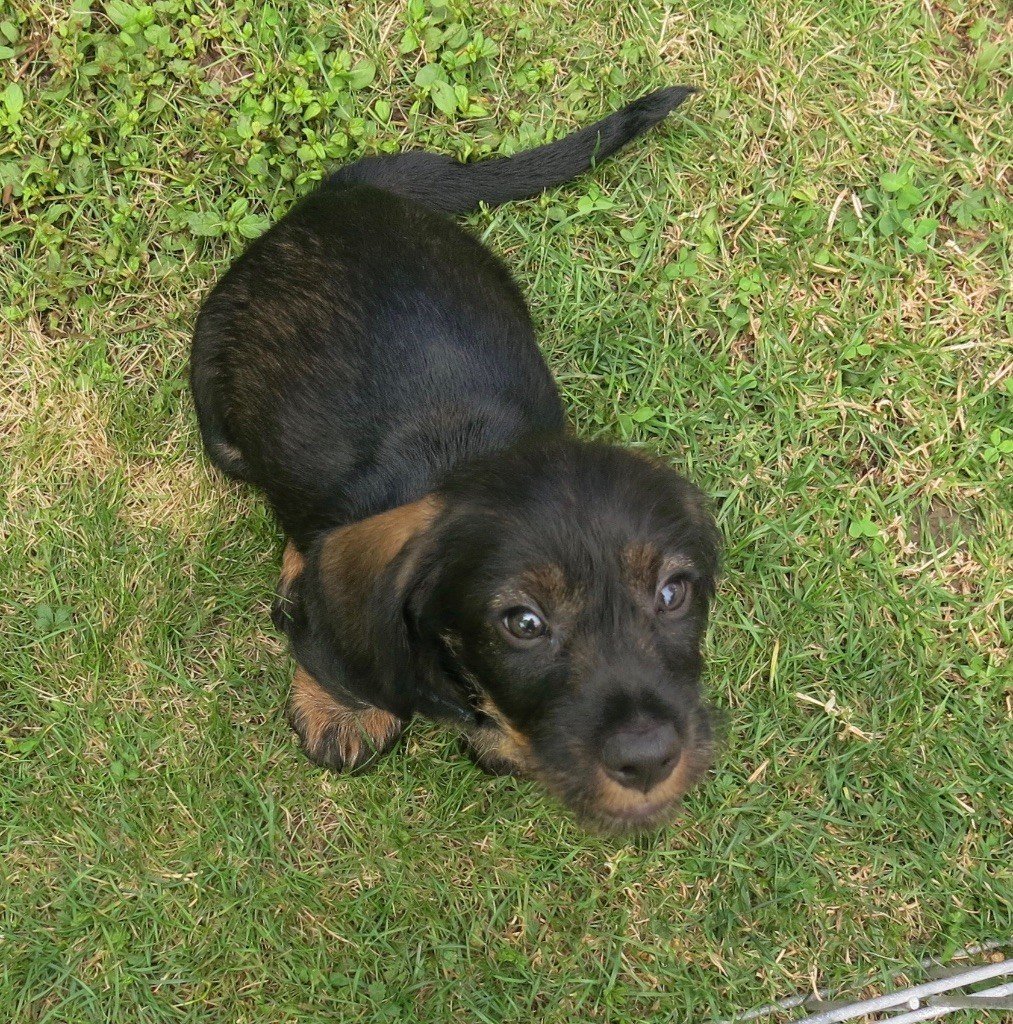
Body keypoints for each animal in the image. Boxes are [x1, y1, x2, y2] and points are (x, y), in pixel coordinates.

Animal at [185, 88, 716, 831]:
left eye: (674, 593)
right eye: (522, 622)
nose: (648, 758)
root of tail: (342, 194)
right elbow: (337, 652)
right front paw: (342, 710)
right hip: (223, 427)